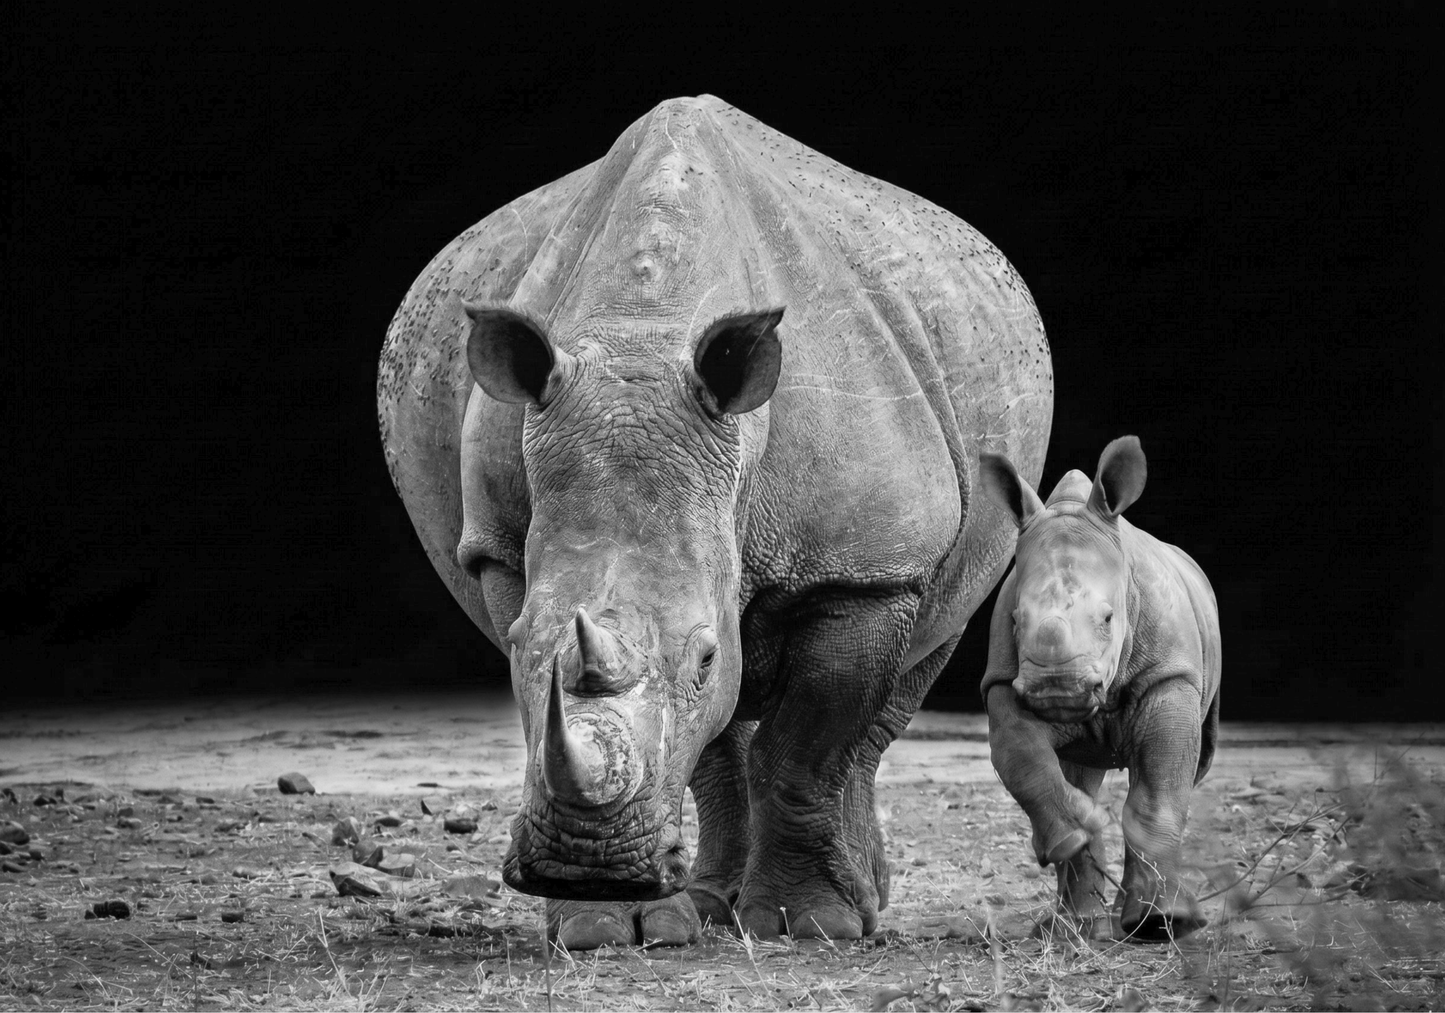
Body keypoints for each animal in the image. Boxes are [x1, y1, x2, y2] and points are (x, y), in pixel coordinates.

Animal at [378, 95, 1052, 948]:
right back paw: (703, 910)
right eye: (521, 645)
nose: (586, 865)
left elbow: (806, 743)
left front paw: (808, 923)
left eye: (702, 656)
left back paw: (859, 904)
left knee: (912, 664)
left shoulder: (863, 567)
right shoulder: (498, 547)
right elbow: (694, 736)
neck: (643, 330)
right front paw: (601, 928)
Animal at [978, 436, 1221, 941]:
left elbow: (1160, 792)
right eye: (1015, 620)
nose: (1058, 688)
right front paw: (1080, 830)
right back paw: (1076, 927)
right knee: (1078, 767)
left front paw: (1166, 923)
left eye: (1109, 618)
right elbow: (1019, 754)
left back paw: (1136, 921)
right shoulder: (1003, 680)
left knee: (1184, 770)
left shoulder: (1171, 675)